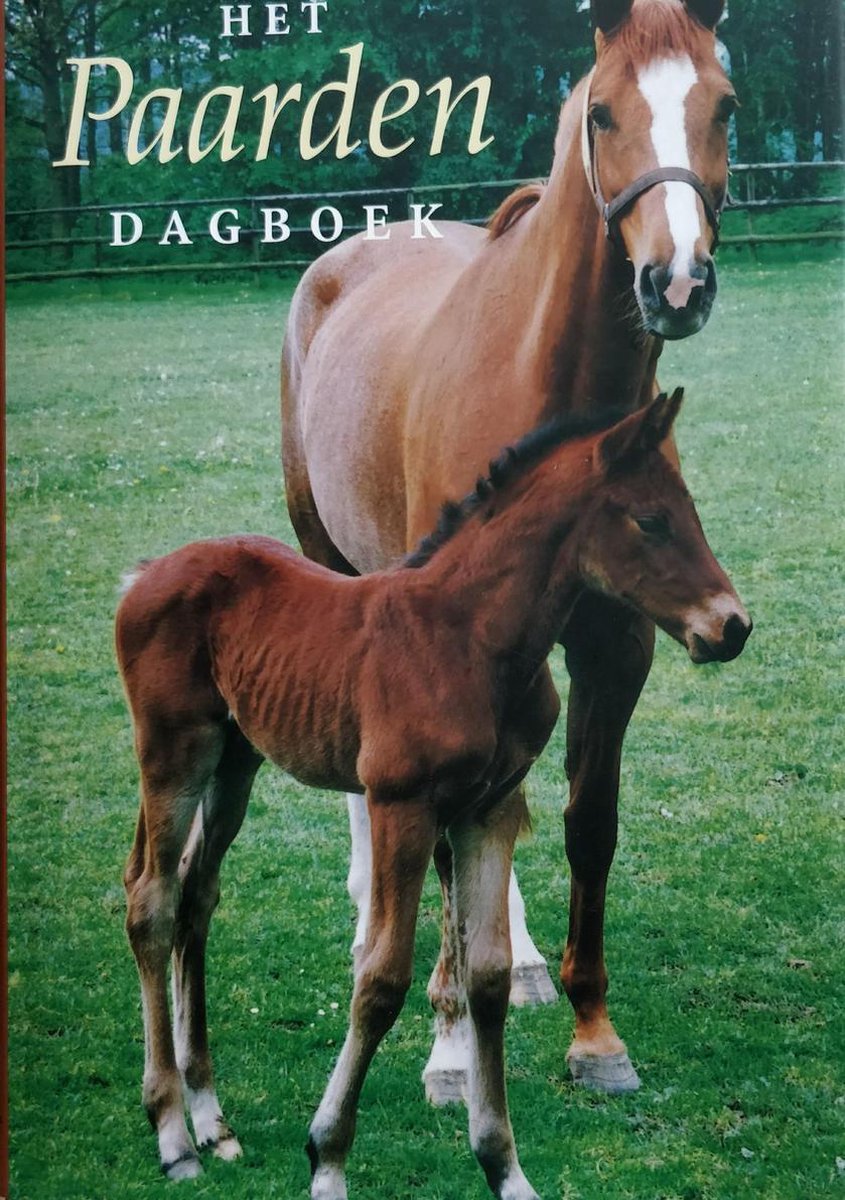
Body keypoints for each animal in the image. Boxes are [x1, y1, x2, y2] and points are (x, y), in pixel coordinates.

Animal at [117, 391, 751, 1193]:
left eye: (688, 510)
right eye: (650, 520)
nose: (732, 626)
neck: (469, 638)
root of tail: (145, 574)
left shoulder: (488, 810)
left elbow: (488, 976)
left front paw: (503, 1167)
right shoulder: (401, 806)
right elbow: (381, 980)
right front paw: (327, 1158)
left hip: (236, 761)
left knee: (197, 896)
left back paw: (210, 1118)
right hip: (174, 753)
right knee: (152, 899)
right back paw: (173, 1133)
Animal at [282, 0, 736, 1099]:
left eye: (725, 106)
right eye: (603, 111)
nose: (676, 282)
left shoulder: (617, 648)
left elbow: (582, 821)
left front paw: (593, 1032)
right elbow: (446, 851)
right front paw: (449, 1047)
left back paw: (521, 957)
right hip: (332, 559)